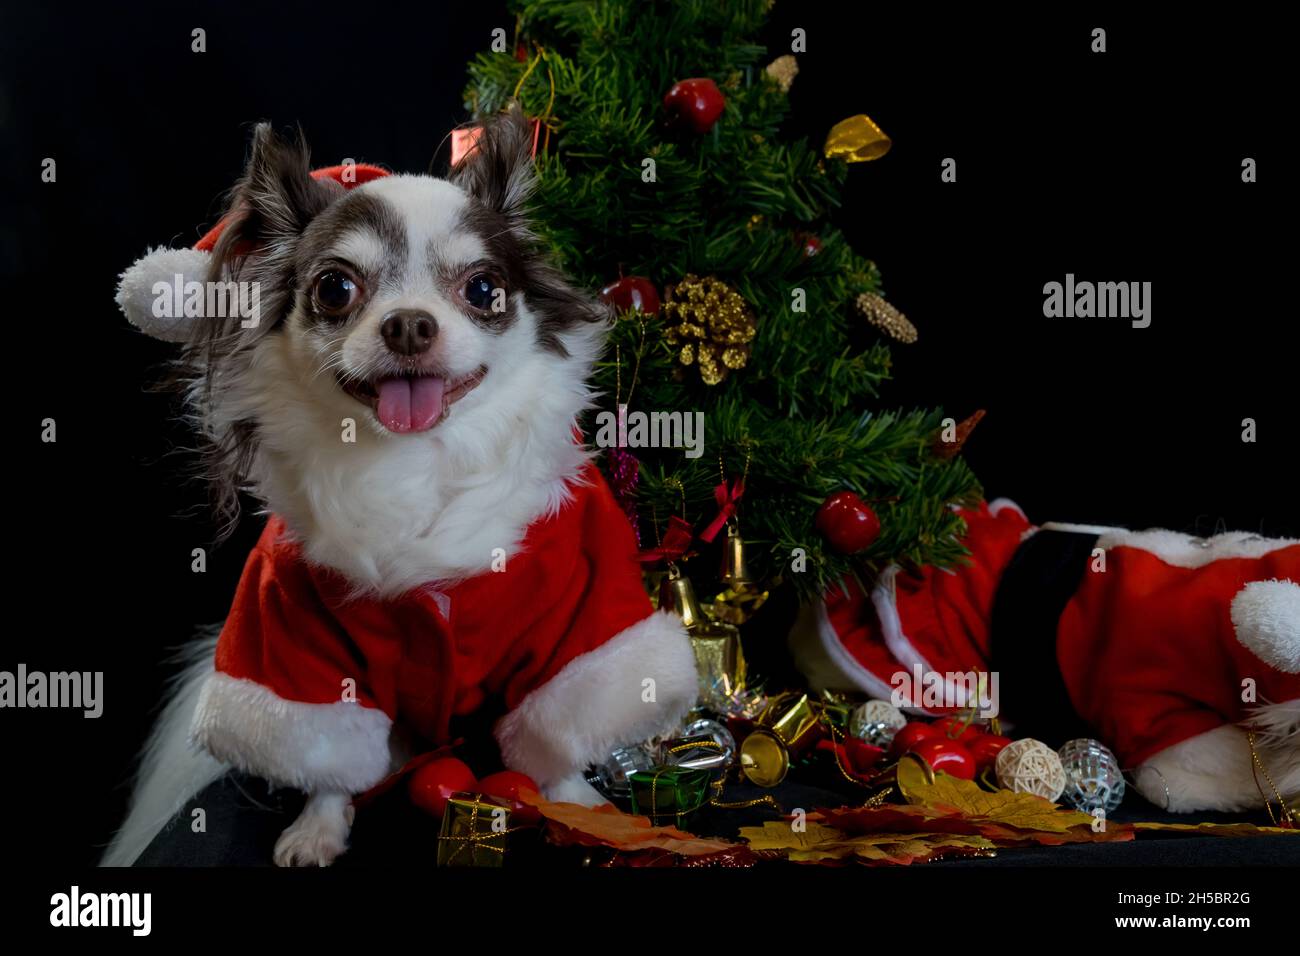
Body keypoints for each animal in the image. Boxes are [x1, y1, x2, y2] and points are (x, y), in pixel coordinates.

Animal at [109, 110, 702, 868]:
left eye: (483, 290)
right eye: (335, 289)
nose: (410, 324)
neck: (414, 459)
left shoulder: (579, 608)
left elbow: (565, 720)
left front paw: (579, 805)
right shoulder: (290, 636)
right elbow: (326, 752)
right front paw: (319, 825)